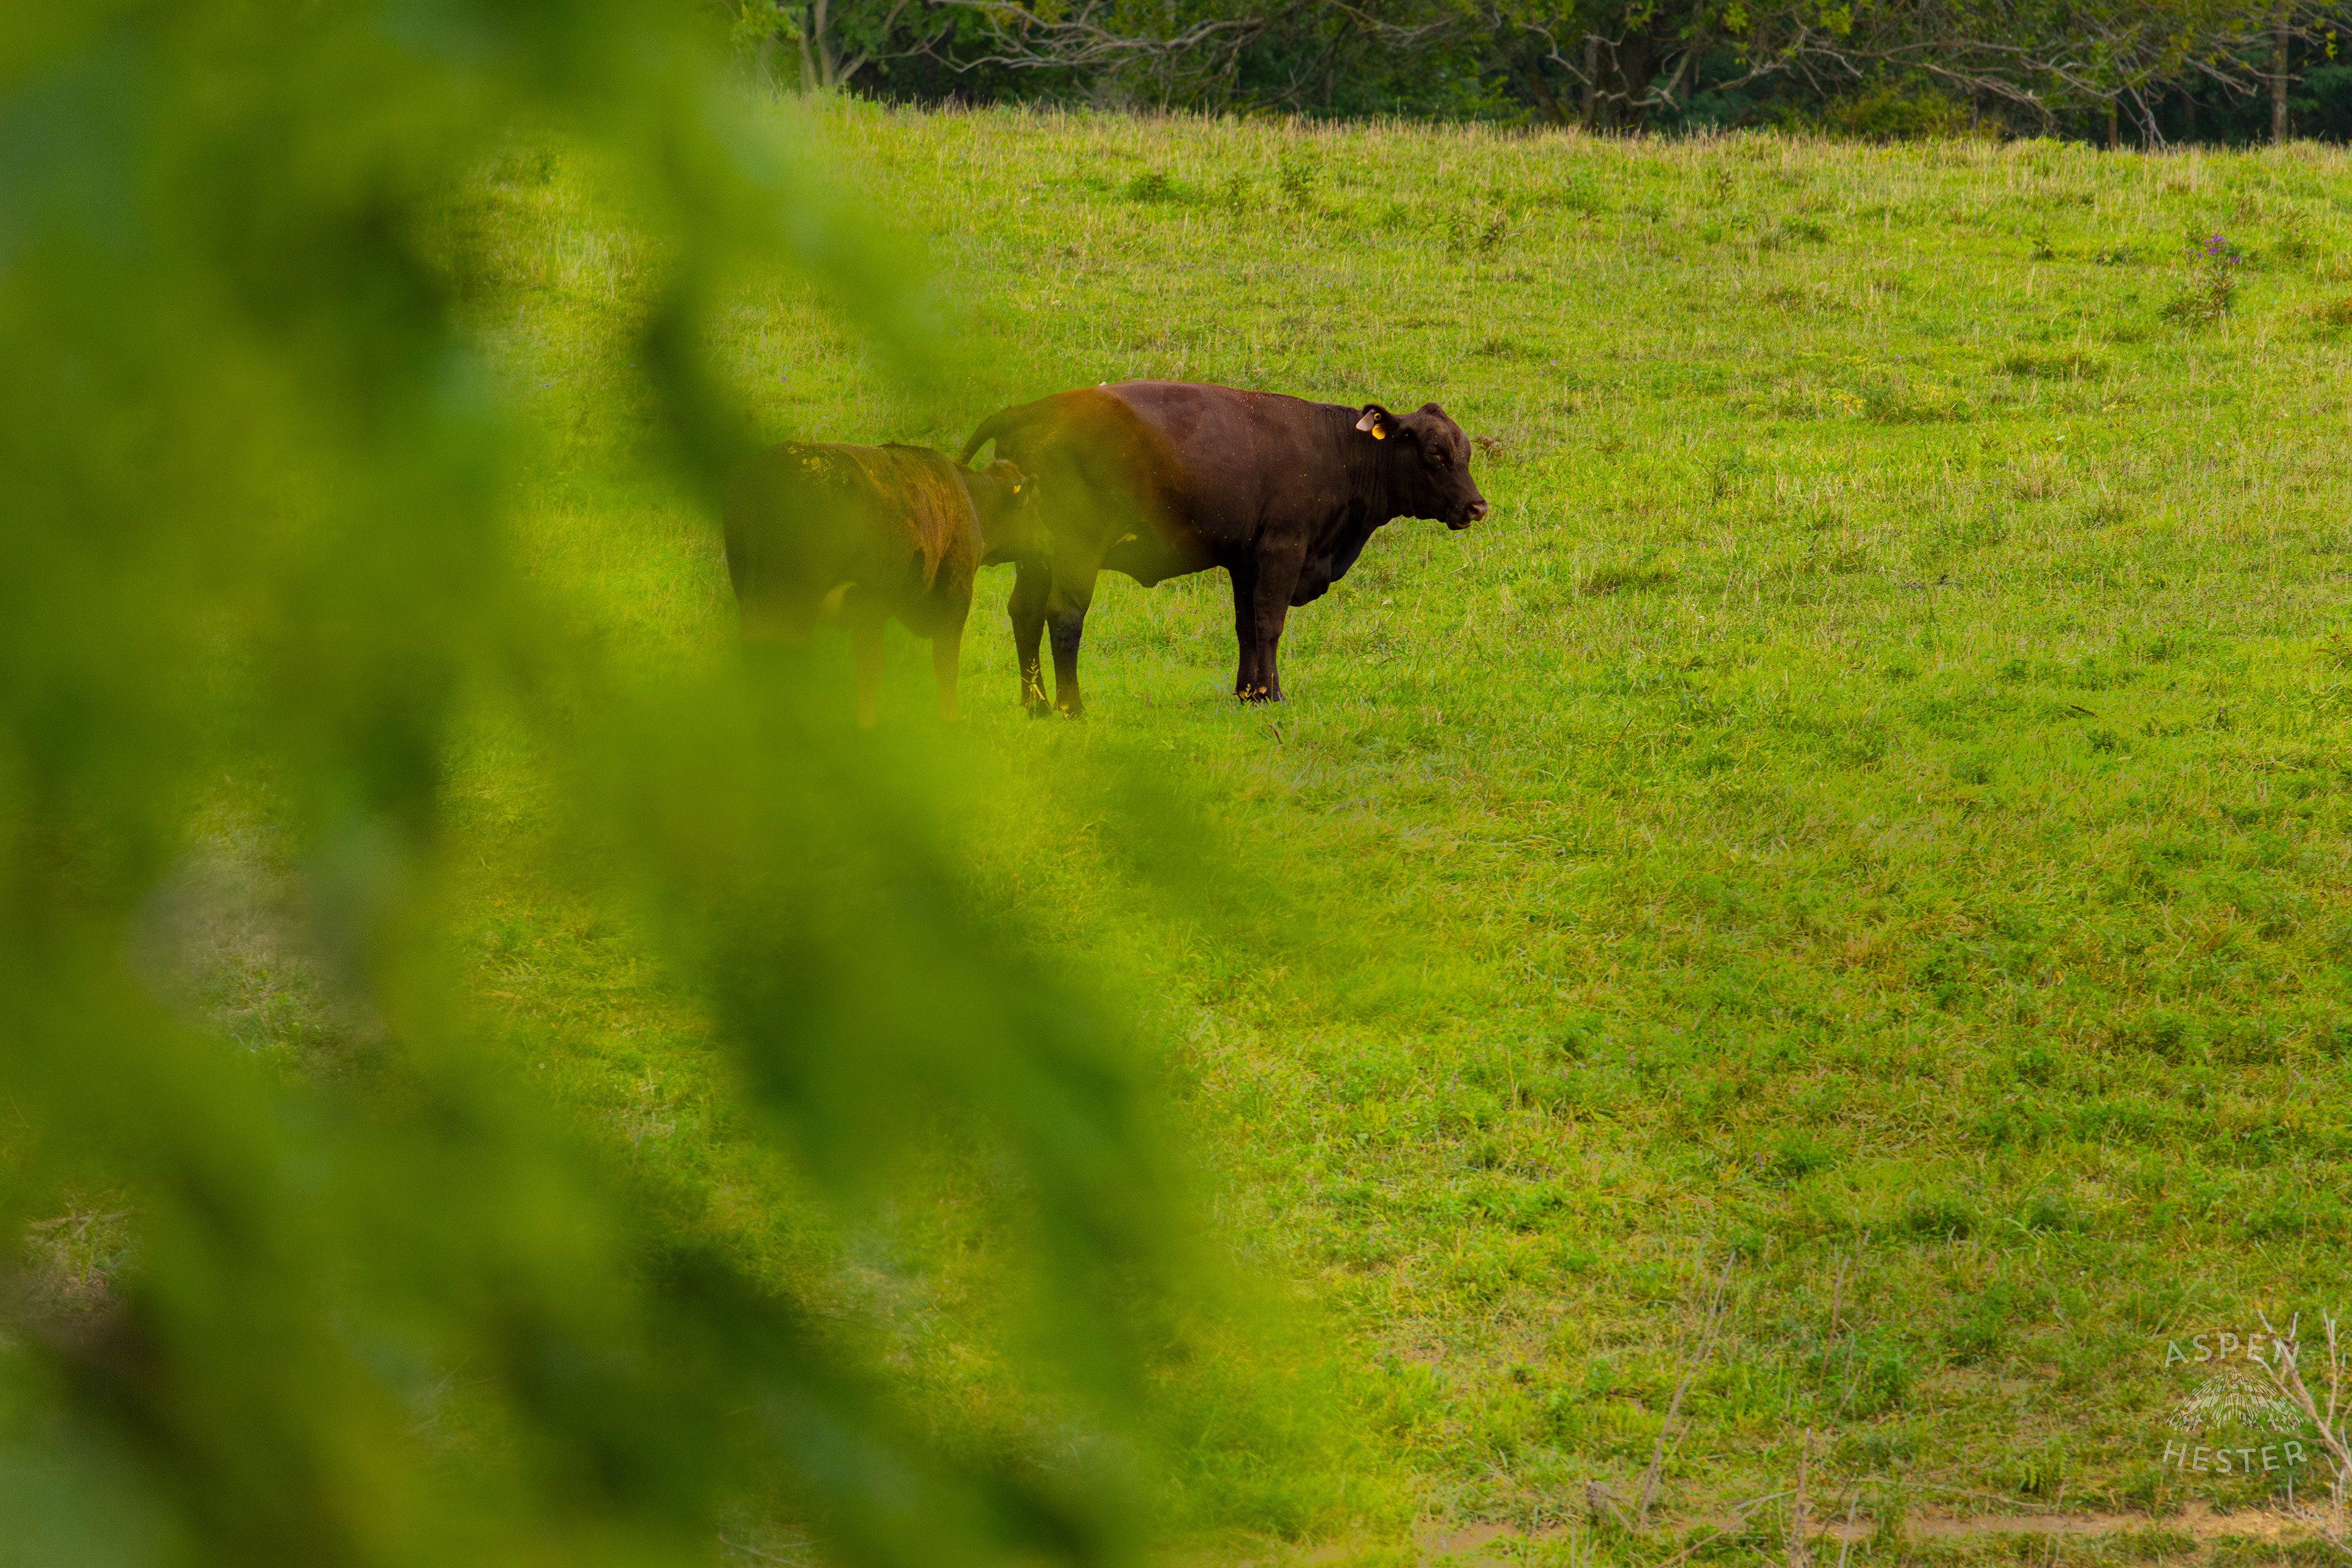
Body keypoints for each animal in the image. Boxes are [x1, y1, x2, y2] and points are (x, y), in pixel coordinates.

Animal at [722, 441, 1030, 726]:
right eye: (1028, 505)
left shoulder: (871, 613)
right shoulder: (953, 598)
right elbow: (941, 666)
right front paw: (950, 720)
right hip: (793, 604)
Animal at [957, 381, 1488, 716]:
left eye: (1464, 452)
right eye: (1436, 453)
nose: (1478, 506)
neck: (1334, 452)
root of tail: (1029, 410)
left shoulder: (1245, 561)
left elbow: (1247, 626)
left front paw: (1248, 692)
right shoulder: (1283, 549)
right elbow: (1270, 623)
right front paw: (1273, 695)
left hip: (1035, 557)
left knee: (1024, 613)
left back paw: (1036, 704)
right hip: (1076, 551)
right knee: (1063, 616)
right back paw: (1072, 706)